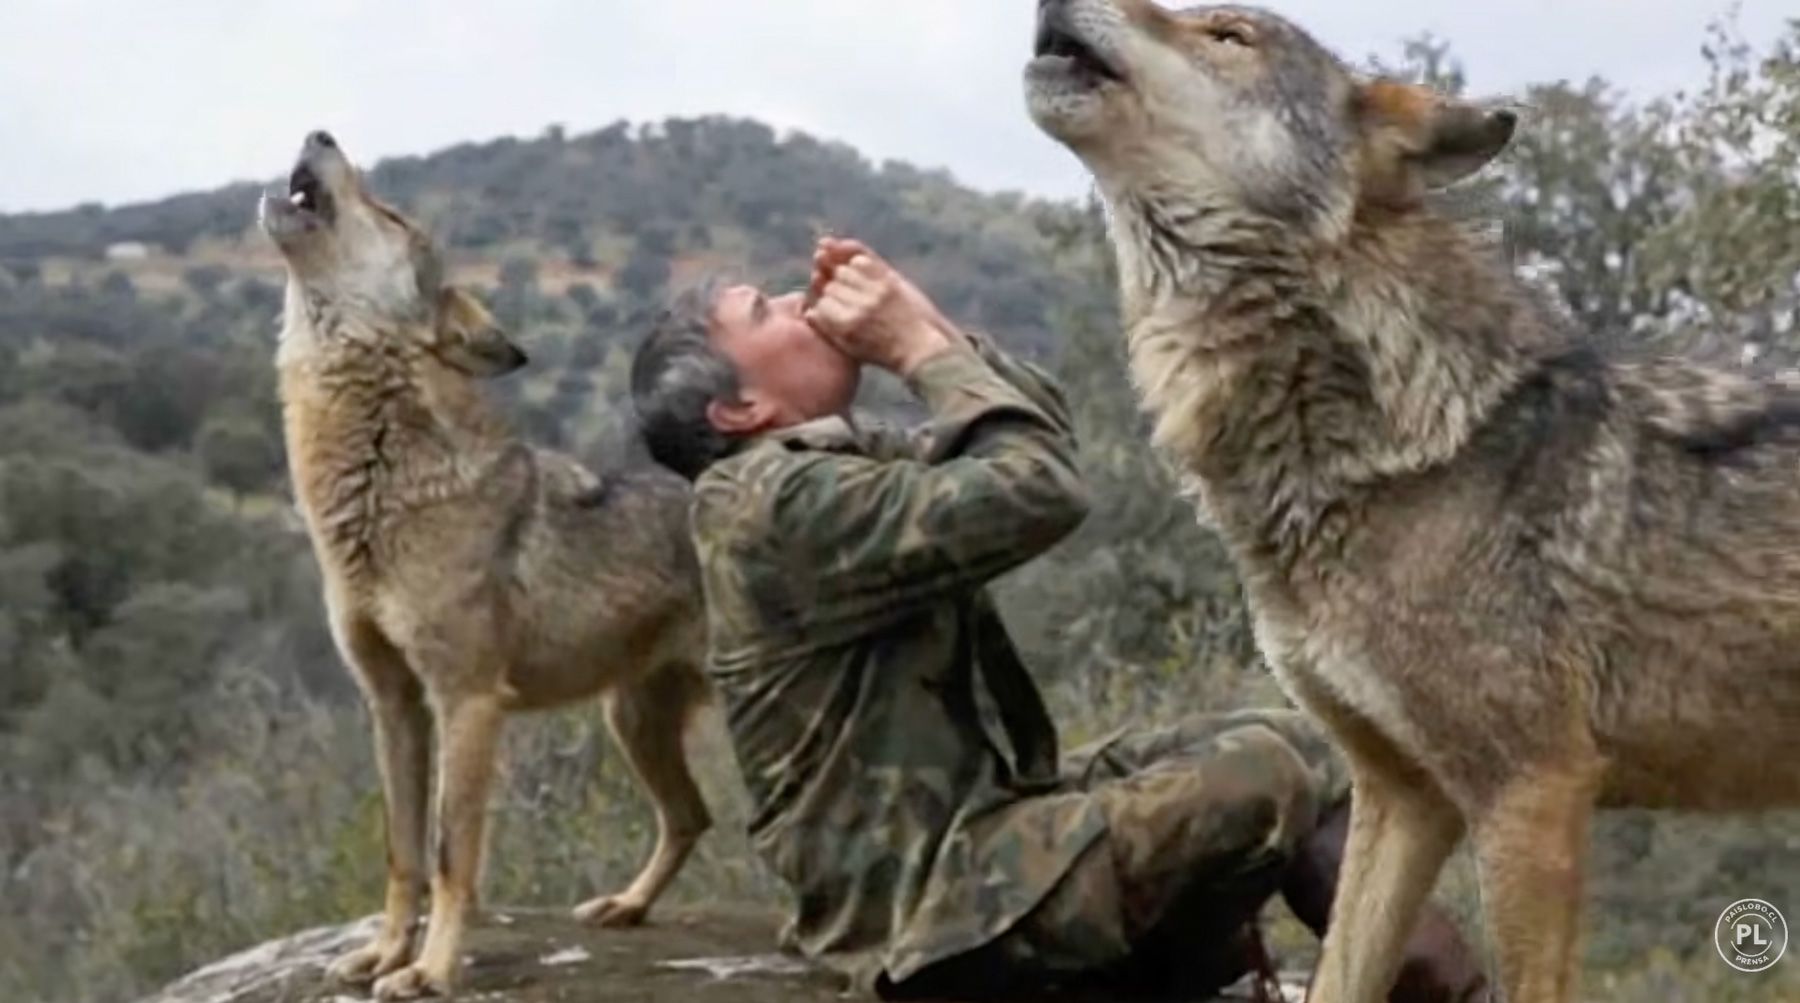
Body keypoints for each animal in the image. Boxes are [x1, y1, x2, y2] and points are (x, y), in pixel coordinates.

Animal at [260, 131, 714, 1000]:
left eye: (392, 214)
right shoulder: (395, 705)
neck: (378, 483)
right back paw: (625, 907)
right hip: (631, 721)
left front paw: (432, 970)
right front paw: (382, 955)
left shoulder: (467, 702)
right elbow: (402, 851)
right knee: (691, 816)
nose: (321, 133)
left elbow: (449, 855)